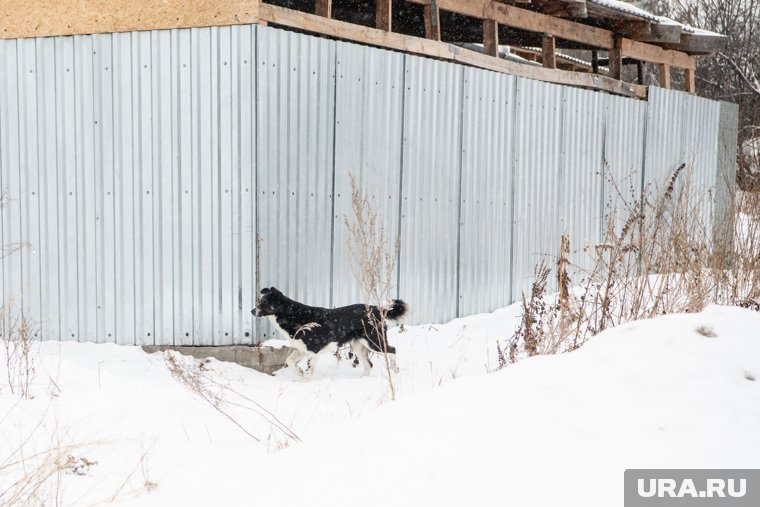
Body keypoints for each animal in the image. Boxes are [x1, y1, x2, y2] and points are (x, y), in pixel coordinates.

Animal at [252, 288, 410, 380]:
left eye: (264, 302)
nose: (252, 311)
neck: (292, 314)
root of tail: (378, 309)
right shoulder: (301, 349)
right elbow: (289, 361)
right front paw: (298, 373)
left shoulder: (313, 350)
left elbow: (309, 370)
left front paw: (304, 378)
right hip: (358, 346)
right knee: (369, 365)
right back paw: (361, 381)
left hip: (374, 341)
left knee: (392, 350)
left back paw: (395, 369)